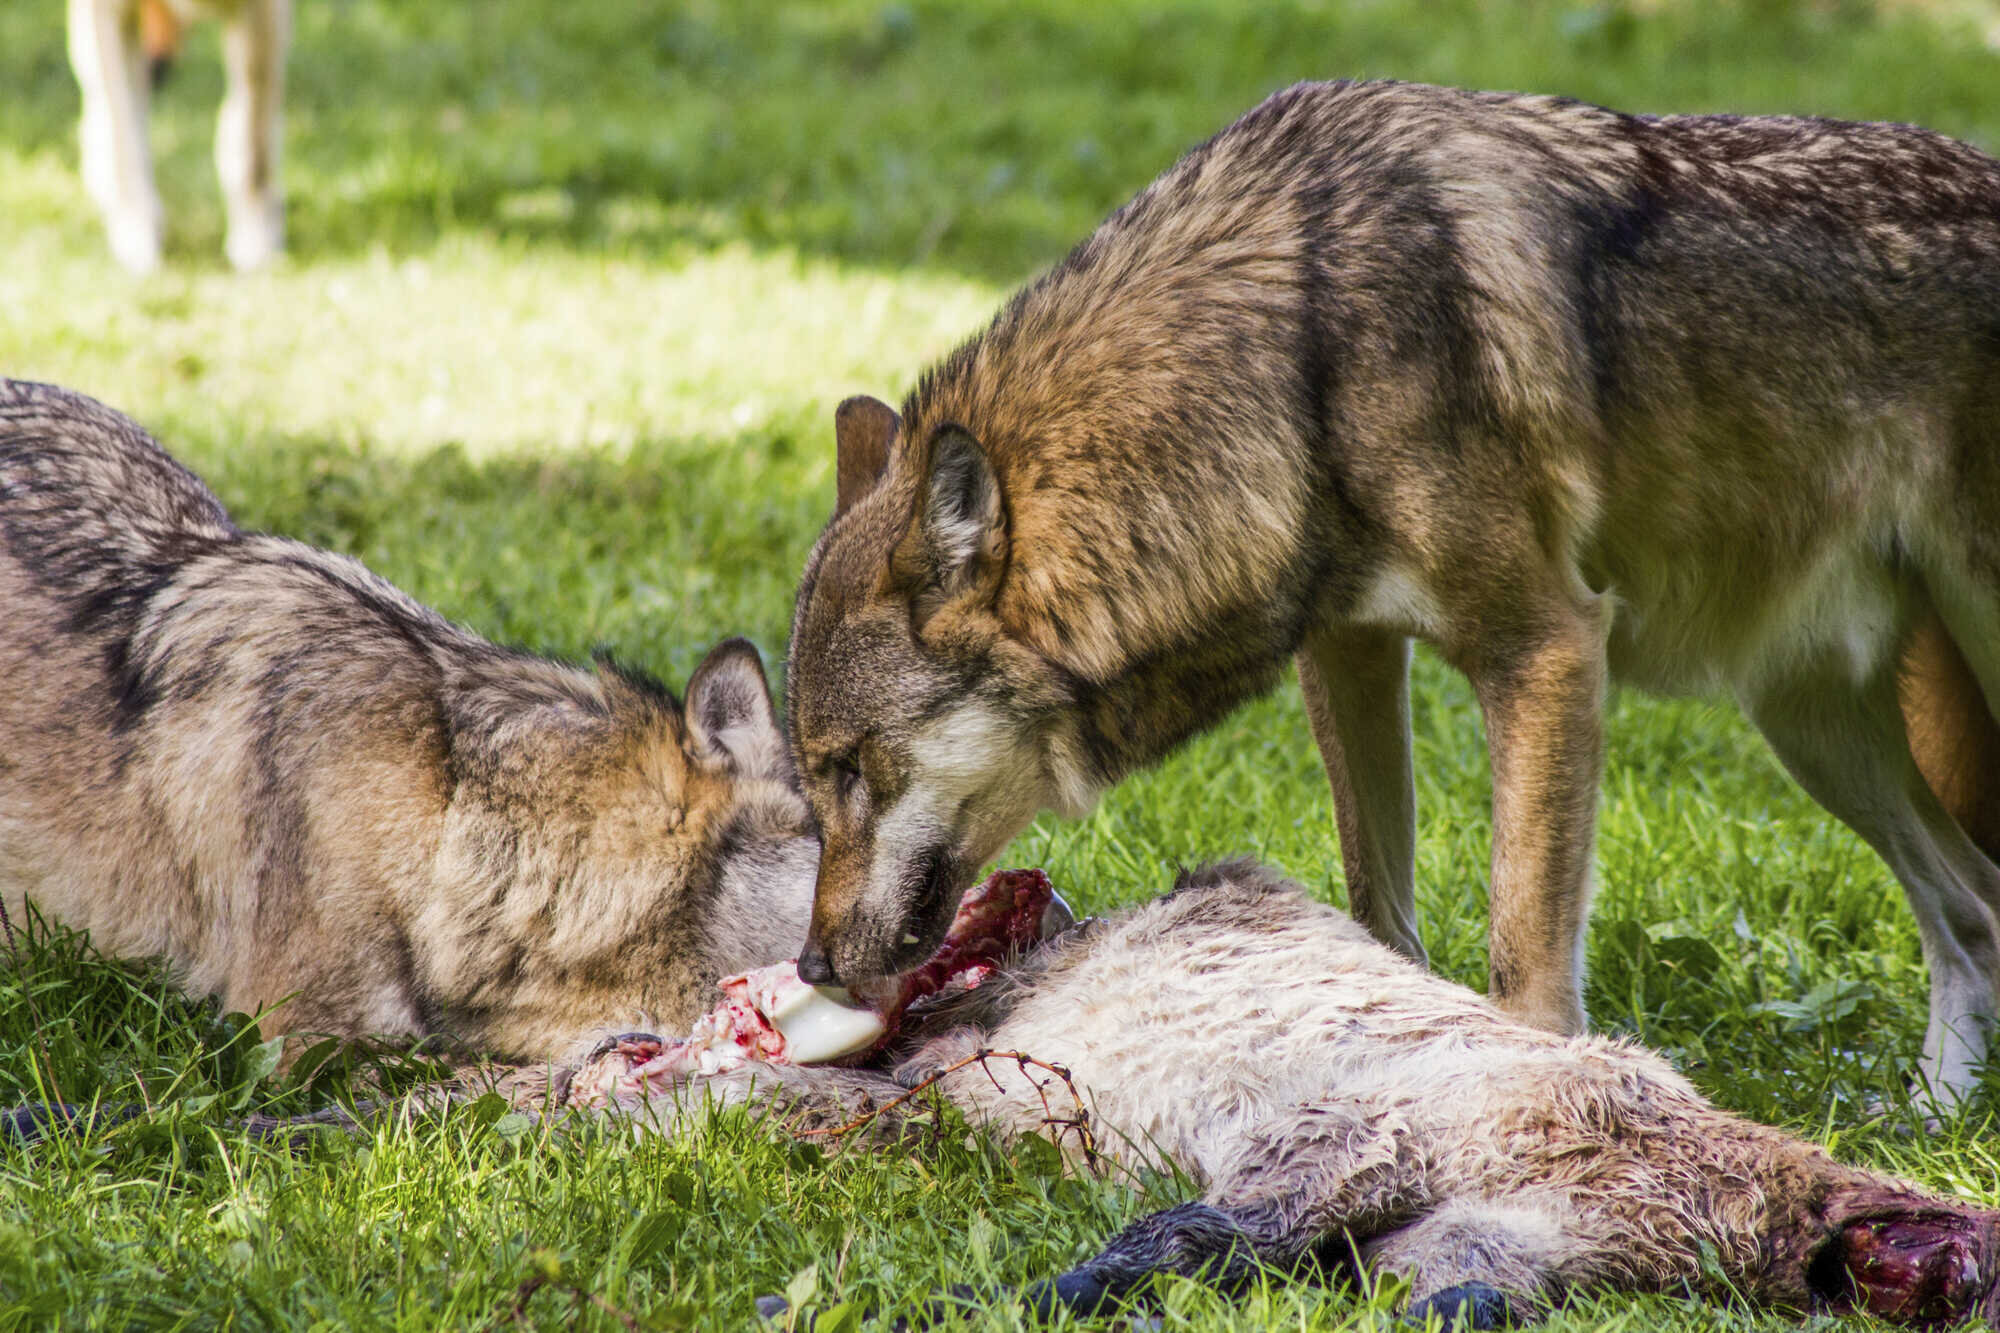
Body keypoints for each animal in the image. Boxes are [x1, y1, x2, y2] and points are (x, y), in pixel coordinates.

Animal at [68, 0, 288, 272]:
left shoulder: (262, 13)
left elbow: (252, 140)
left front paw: (257, 233)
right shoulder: (109, 14)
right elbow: (125, 137)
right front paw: (136, 226)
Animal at [780, 80, 2000, 1096]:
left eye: (847, 770)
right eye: (810, 777)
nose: (810, 961)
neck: (1294, 364)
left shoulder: (1547, 651)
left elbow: (1523, 962)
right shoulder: (1349, 651)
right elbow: (1379, 914)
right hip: (1810, 730)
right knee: (1972, 908)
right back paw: (1935, 1112)